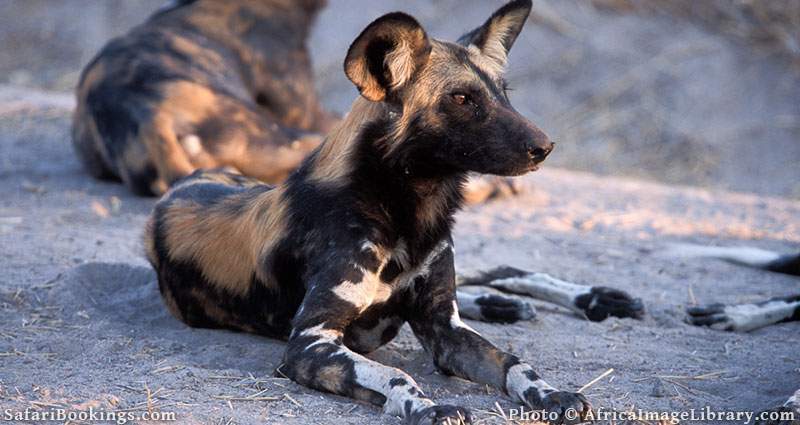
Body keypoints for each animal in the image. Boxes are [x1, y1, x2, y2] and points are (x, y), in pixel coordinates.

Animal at [141, 2, 648, 420]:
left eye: (504, 93)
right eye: (462, 98)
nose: (544, 147)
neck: (411, 212)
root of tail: (189, 178)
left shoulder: (444, 327)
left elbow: (516, 363)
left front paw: (553, 394)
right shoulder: (309, 342)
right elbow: (394, 375)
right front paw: (429, 407)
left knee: (499, 271)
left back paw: (594, 299)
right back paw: (504, 305)